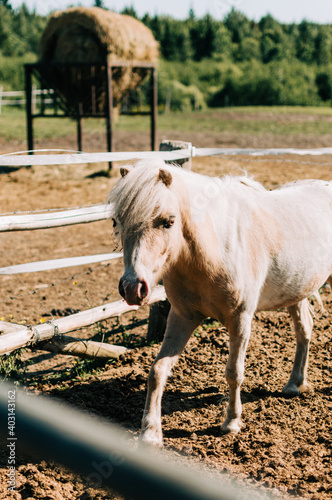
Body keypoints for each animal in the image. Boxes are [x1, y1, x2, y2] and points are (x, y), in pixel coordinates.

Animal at [107, 159, 330, 446]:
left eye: (168, 221)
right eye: (117, 221)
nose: (132, 287)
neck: (213, 249)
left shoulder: (241, 319)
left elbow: (234, 372)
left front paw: (231, 422)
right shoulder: (182, 317)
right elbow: (157, 370)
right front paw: (150, 432)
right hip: (297, 290)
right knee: (305, 329)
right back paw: (294, 384)